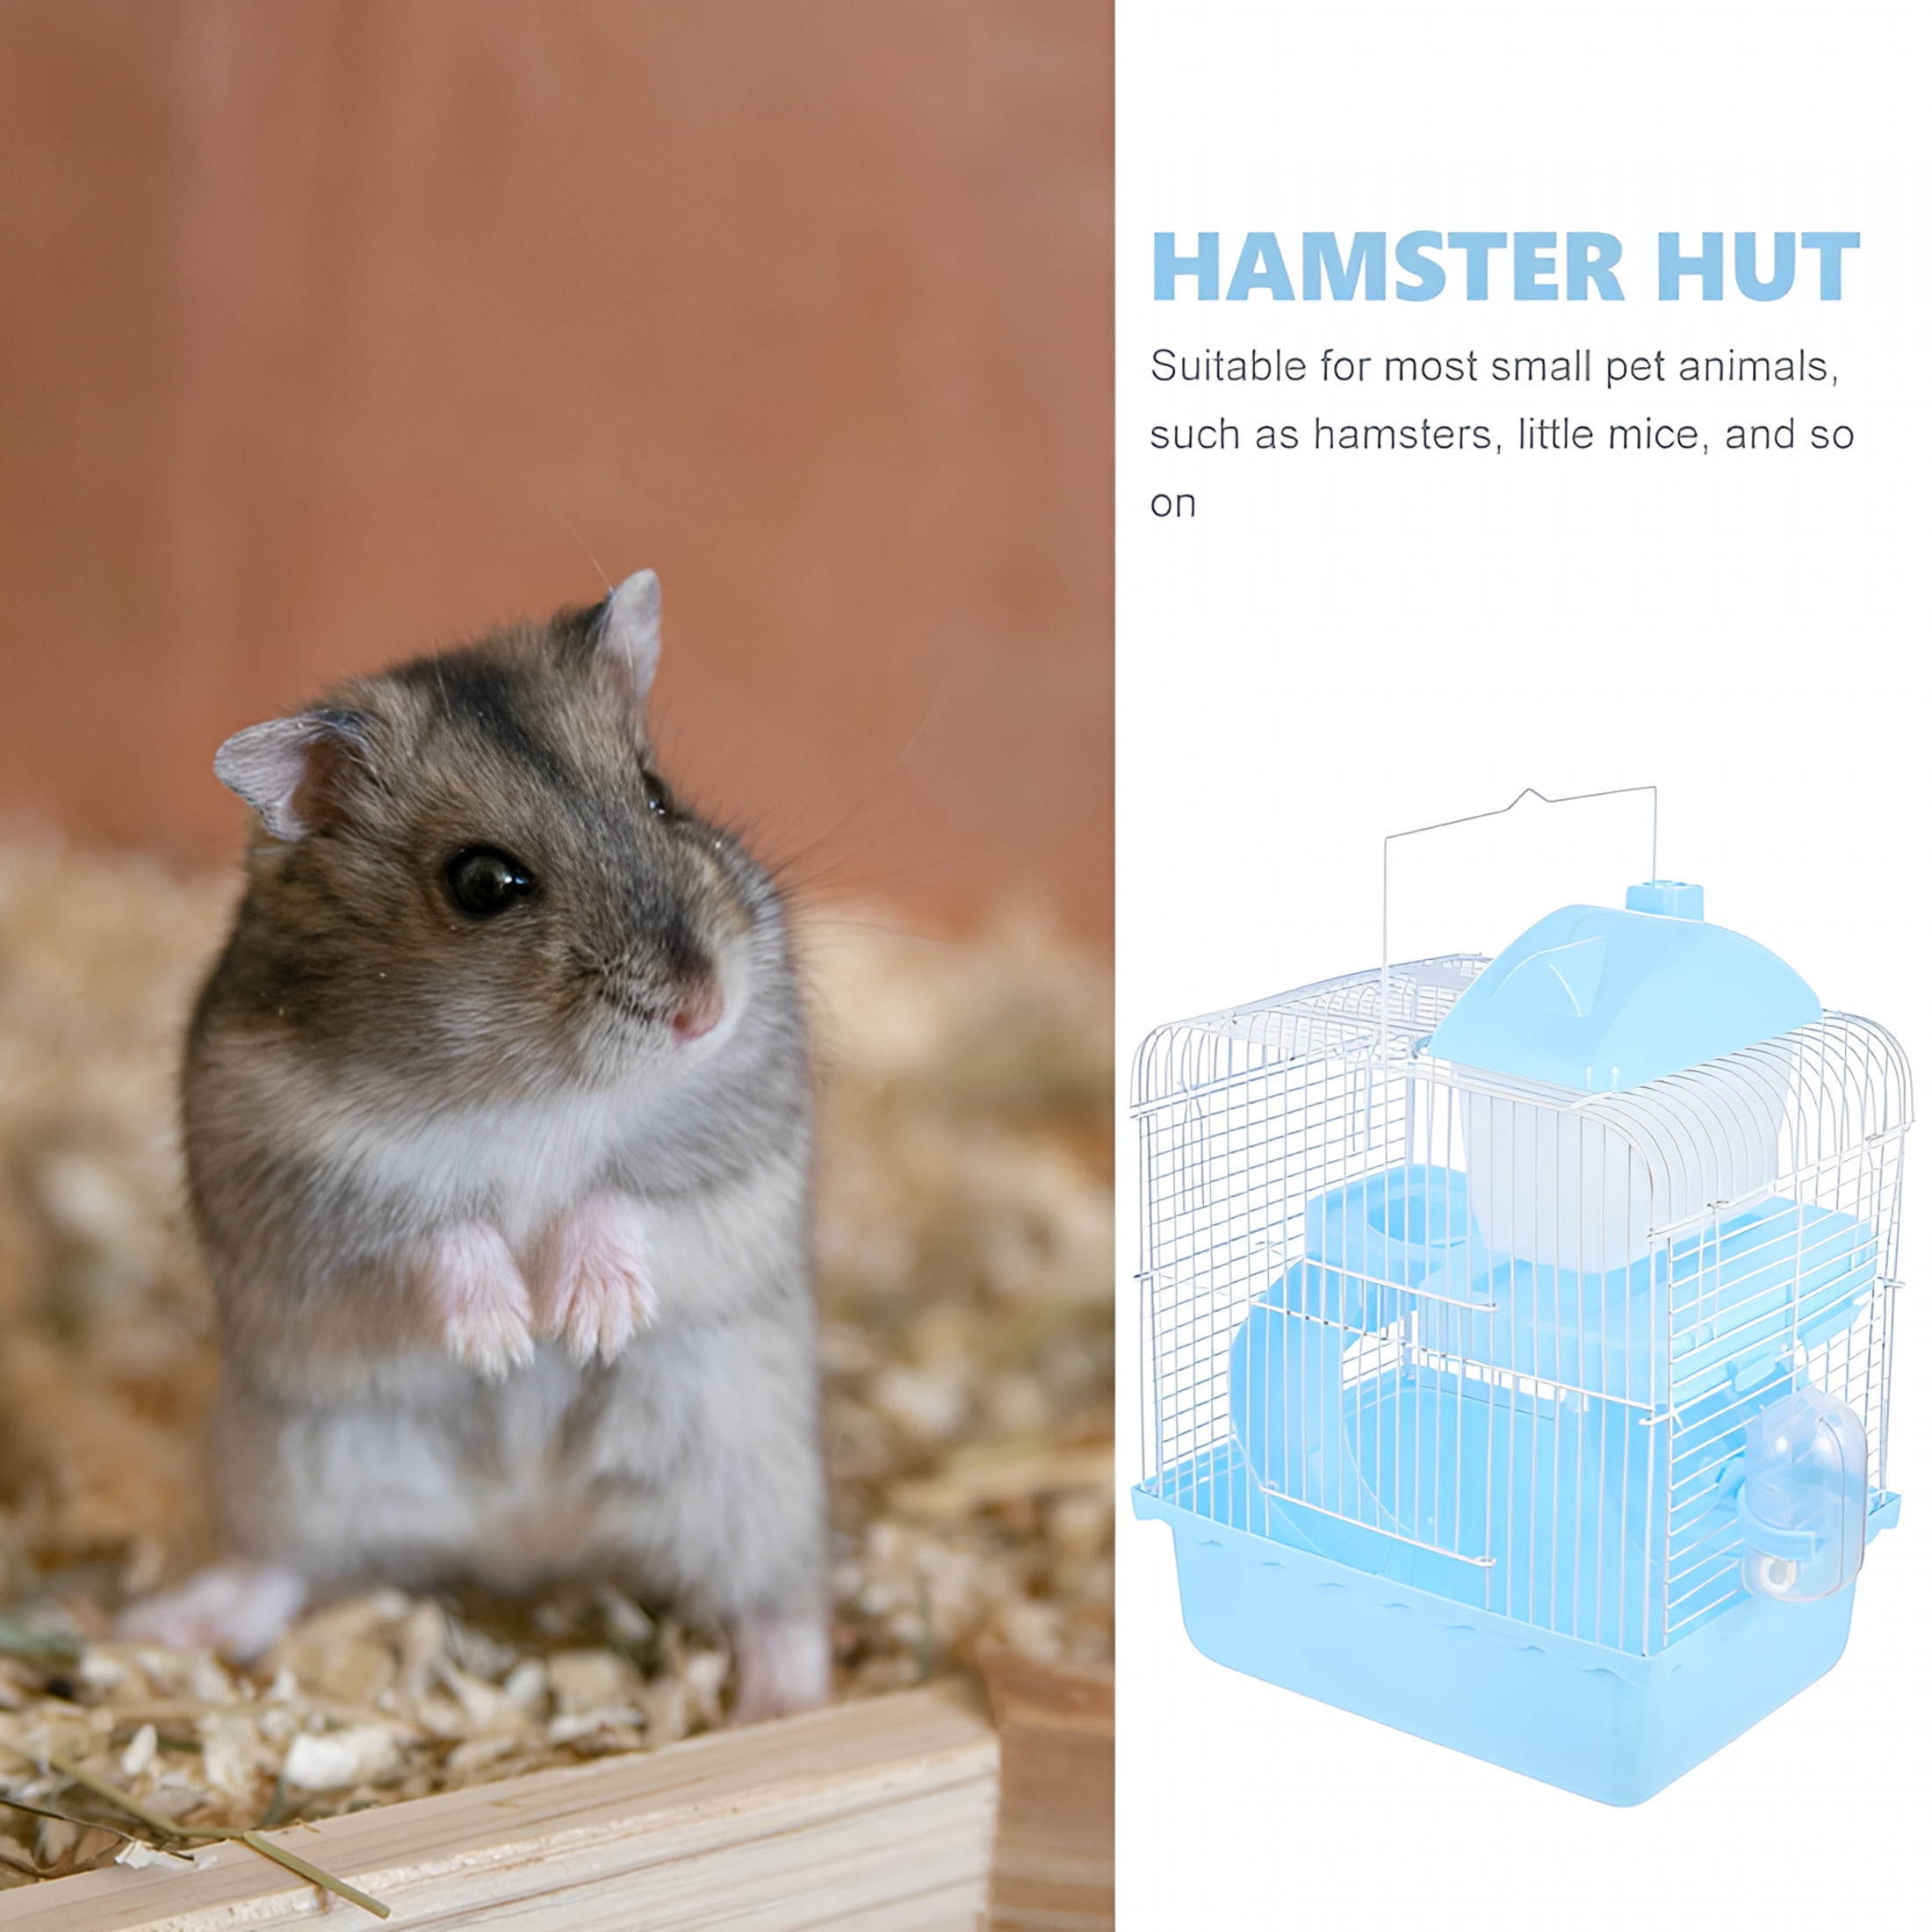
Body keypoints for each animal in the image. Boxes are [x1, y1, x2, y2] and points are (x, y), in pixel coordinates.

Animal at [120, 571, 829, 1720]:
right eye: (484, 882)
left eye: (658, 793)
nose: (703, 1009)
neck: (531, 1085)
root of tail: (527, 1544)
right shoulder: (305, 1190)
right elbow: (434, 1231)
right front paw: (504, 1342)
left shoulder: (737, 1146)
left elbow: (622, 1195)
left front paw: (585, 1323)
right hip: (292, 1467)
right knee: (278, 1567)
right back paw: (163, 1626)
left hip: (754, 1474)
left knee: (781, 1603)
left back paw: (783, 1707)